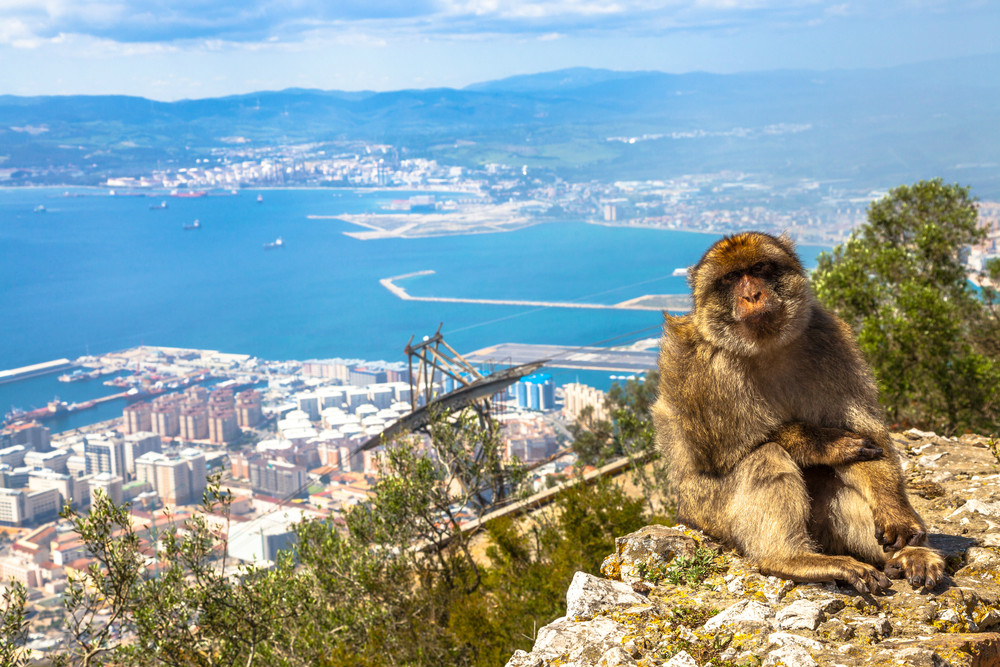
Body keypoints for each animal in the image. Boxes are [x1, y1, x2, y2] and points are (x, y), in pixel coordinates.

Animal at [652, 231, 940, 596]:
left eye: (760, 268)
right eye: (731, 278)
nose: (752, 294)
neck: (765, 347)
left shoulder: (831, 340)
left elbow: (871, 437)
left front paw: (895, 511)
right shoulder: (698, 365)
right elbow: (719, 451)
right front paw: (823, 443)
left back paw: (909, 555)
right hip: (708, 513)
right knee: (766, 456)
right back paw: (791, 558)